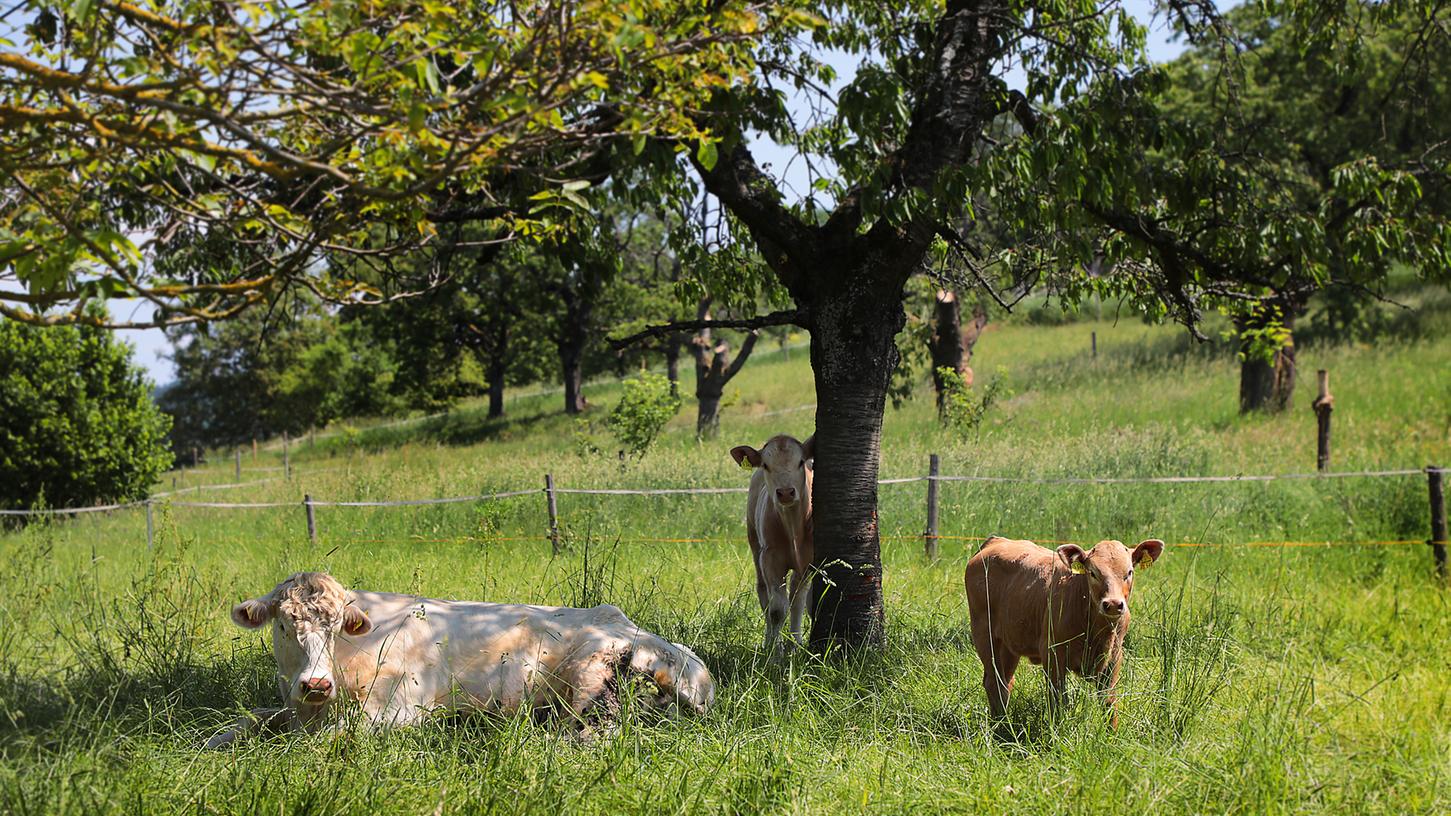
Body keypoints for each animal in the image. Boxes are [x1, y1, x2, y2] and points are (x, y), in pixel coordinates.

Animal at [207, 569, 716, 749]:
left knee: (591, 733)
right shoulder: (290, 707)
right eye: (282, 624)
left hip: (595, 681)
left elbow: (316, 742)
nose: (316, 683)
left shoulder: (397, 712)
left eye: (335, 627)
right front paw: (213, 742)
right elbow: (245, 720)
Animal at [731, 432, 812, 647]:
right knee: (763, 592)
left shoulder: (808, 561)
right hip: (755, 544)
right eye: (766, 465)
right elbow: (776, 610)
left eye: (801, 462)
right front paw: (775, 651)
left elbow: (798, 601)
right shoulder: (770, 558)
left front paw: (796, 644)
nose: (785, 492)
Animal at [963, 534, 1166, 723]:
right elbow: (1059, 701)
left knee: (1005, 682)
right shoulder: (1053, 654)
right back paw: (1001, 726)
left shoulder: (1114, 657)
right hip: (985, 636)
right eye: (1093, 572)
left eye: (1129, 572)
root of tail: (996, 541)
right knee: (994, 683)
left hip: (1009, 644)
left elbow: (1109, 703)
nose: (1114, 604)